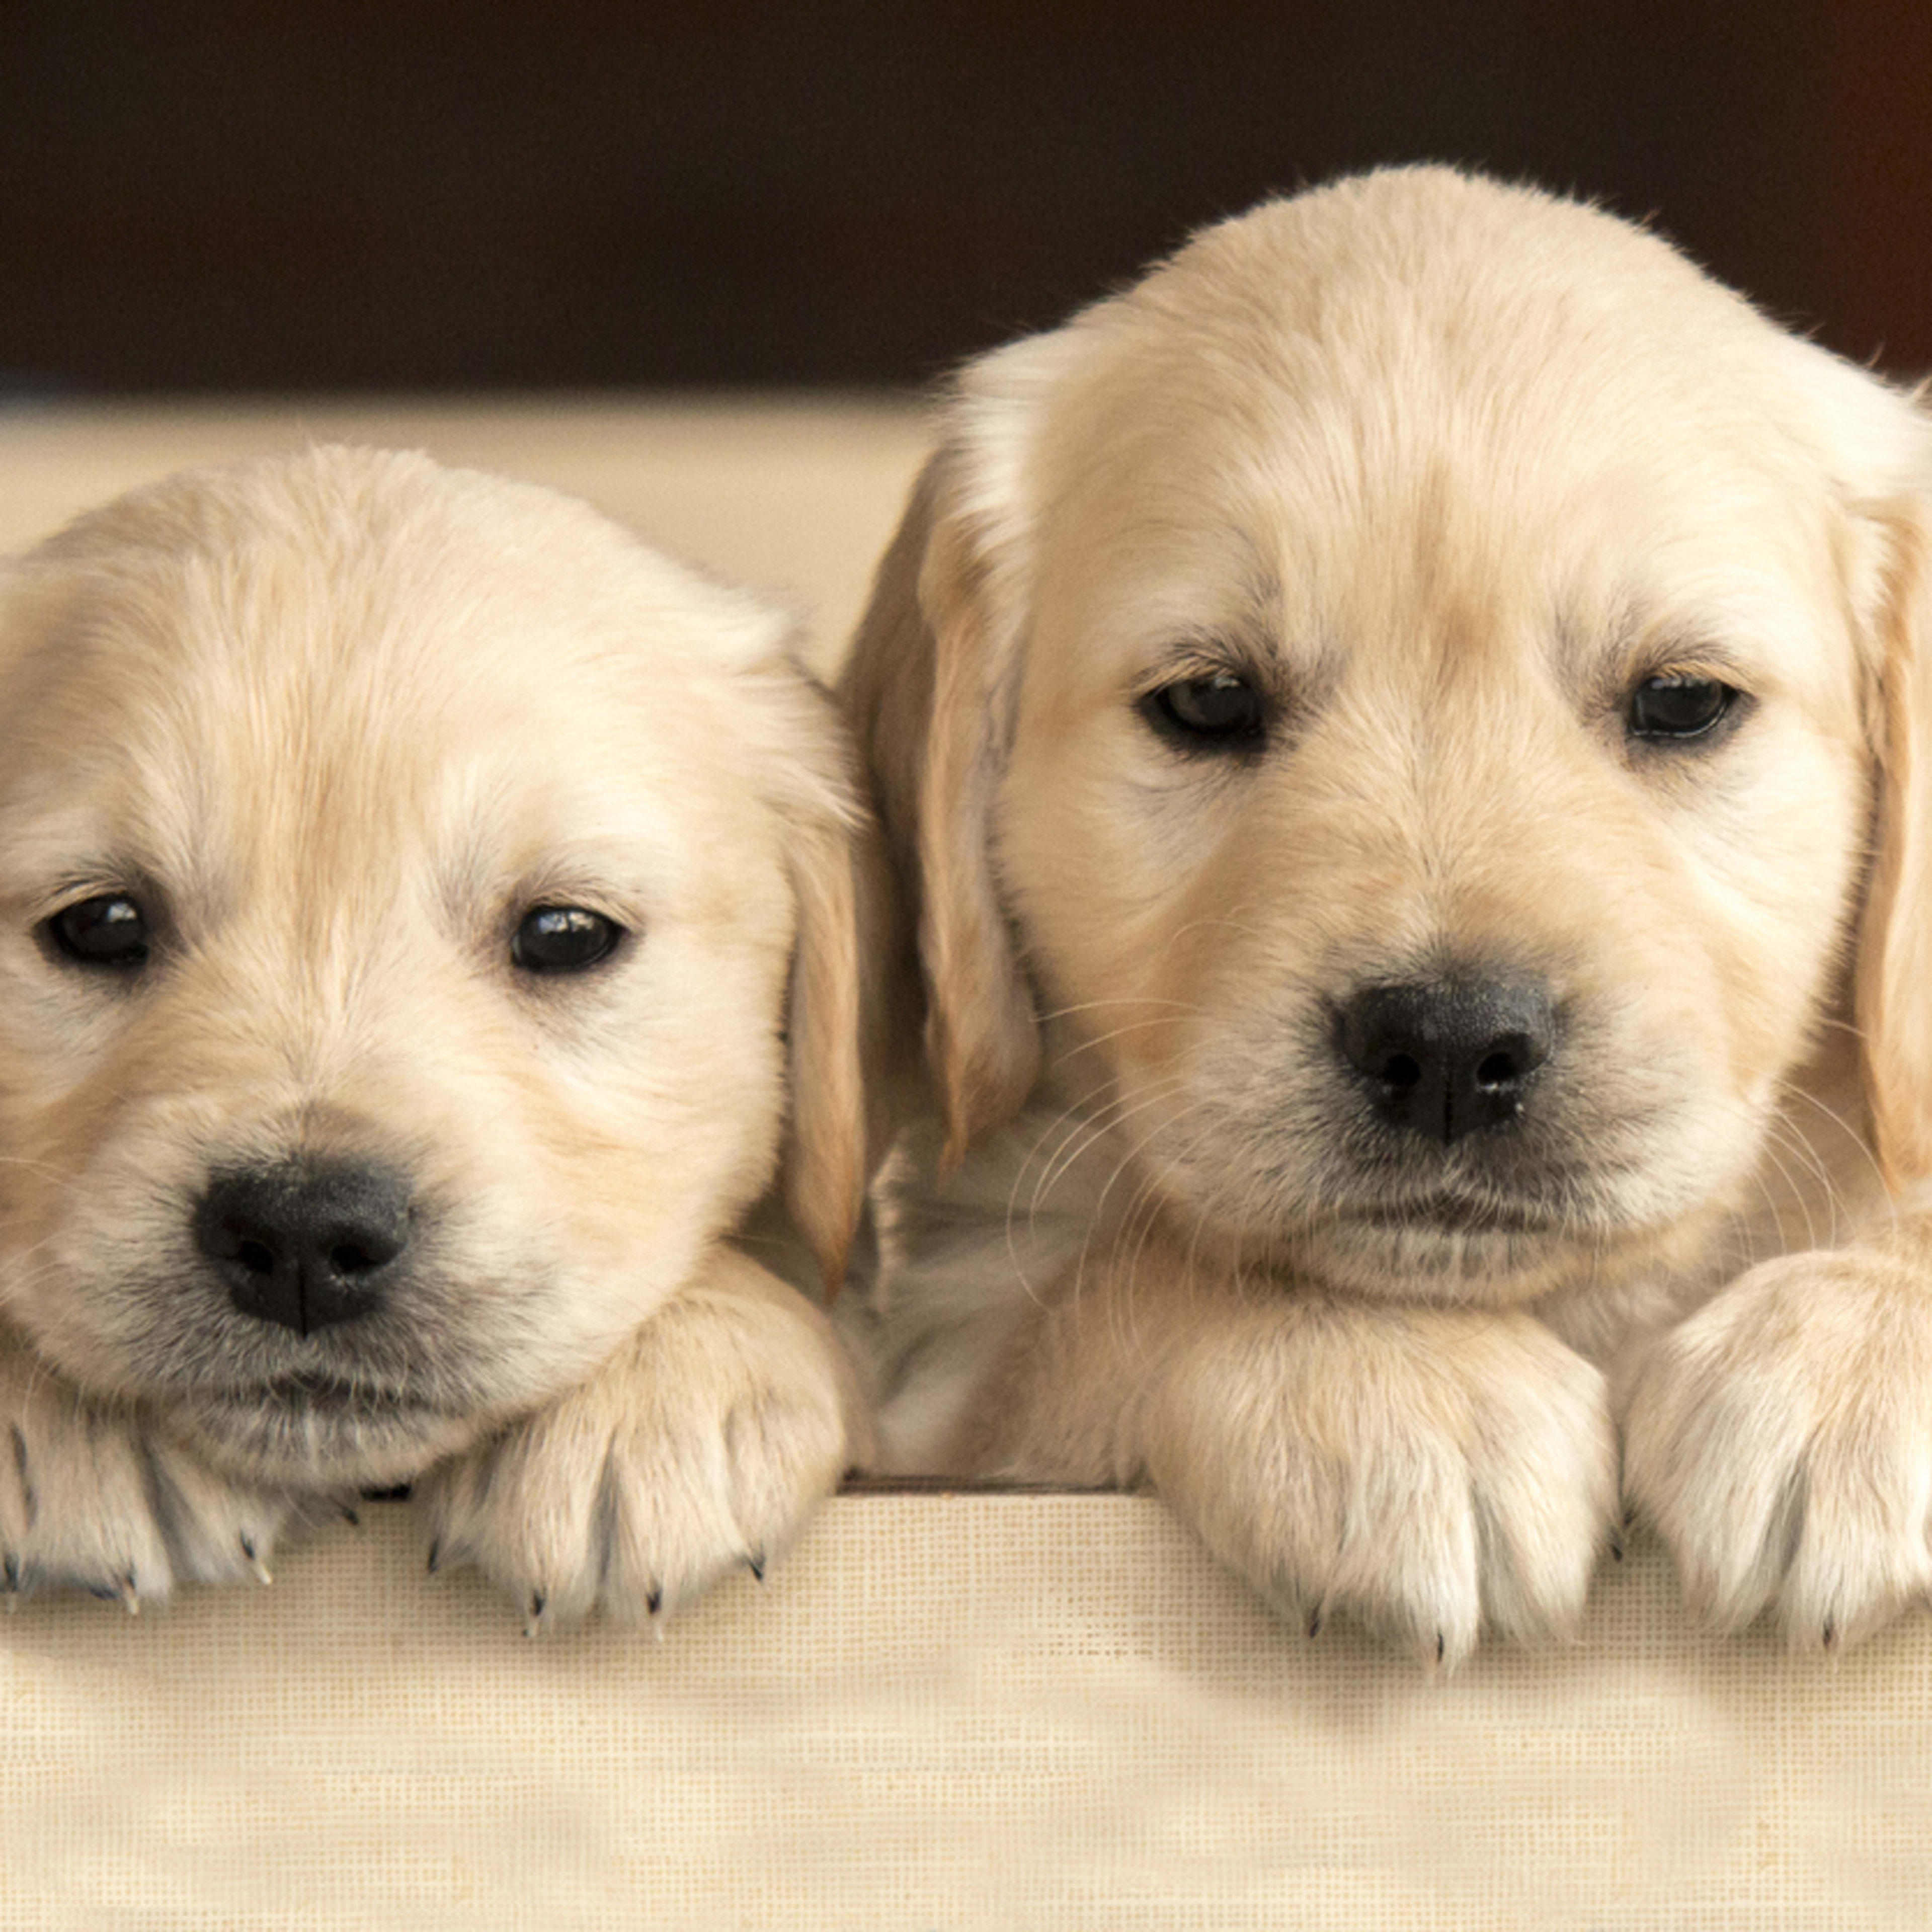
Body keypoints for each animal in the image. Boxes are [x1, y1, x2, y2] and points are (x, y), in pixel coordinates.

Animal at [846, 166, 1932, 1669]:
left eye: (1681, 699)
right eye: (1207, 700)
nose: (1450, 1045)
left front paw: (1847, 1360)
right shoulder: (949, 1366)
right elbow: (1130, 1279)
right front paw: (1395, 1378)